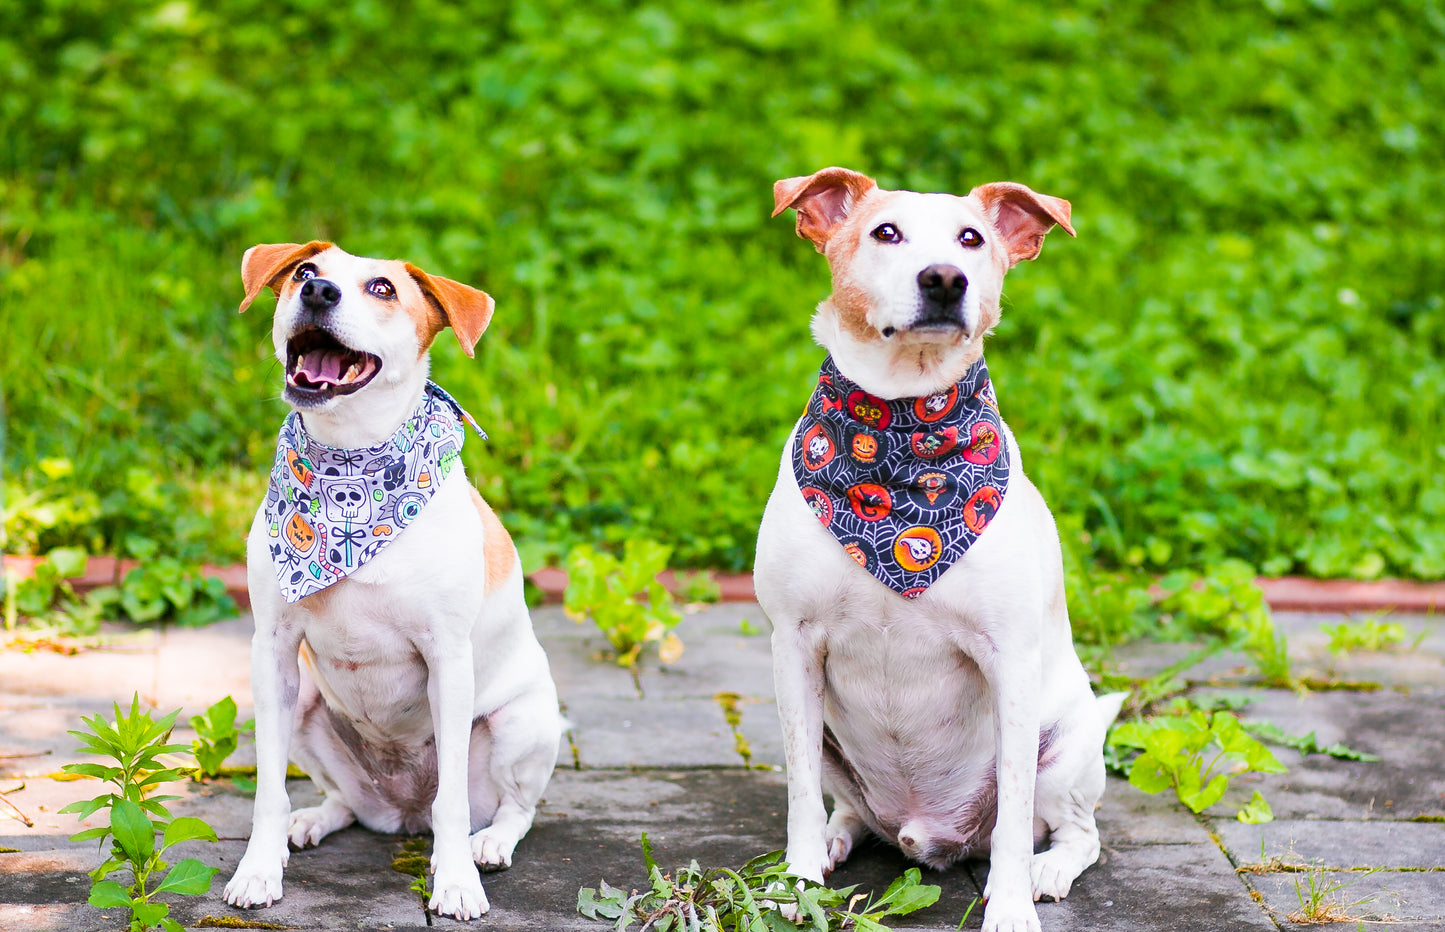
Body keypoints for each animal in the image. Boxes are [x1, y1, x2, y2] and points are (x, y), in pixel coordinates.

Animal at [222, 239, 560, 913]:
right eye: (305, 271)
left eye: (382, 289)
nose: (318, 292)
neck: (349, 465)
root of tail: (403, 814)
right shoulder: (272, 651)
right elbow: (267, 790)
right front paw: (258, 870)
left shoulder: (448, 659)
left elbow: (454, 805)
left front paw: (455, 882)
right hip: (307, 706)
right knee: (345, 803)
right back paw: (312, 820)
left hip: (522, 721)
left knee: (514, 808)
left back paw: (491, 844)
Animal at [757, 169, 1127, 930]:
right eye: (885, 232)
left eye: (972, 238)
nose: (944, 279)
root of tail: (927, 833)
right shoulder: (793, 645)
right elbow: (800, 792)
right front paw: (794, 887)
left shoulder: (1009, 657)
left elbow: (1014, 814)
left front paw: (1010, 909)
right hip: (833, 740)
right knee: (847, 807)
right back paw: (836, 842)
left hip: (1066, 748)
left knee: (1075, 832)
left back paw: (1047, 870)